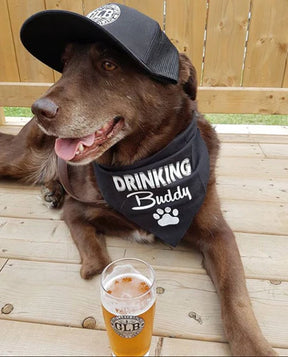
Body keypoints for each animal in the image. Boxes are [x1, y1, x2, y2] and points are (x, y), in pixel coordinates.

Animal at [0, 41, 276, 354]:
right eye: (66, 64)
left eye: (108, 64)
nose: (38, 109)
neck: (141, 166)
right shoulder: (78, 209)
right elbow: (94, 252)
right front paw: (94, 266)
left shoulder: (218, 233)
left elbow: (235, 296)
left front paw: (254, 346)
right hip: (20, 160)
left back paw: (52, 190)